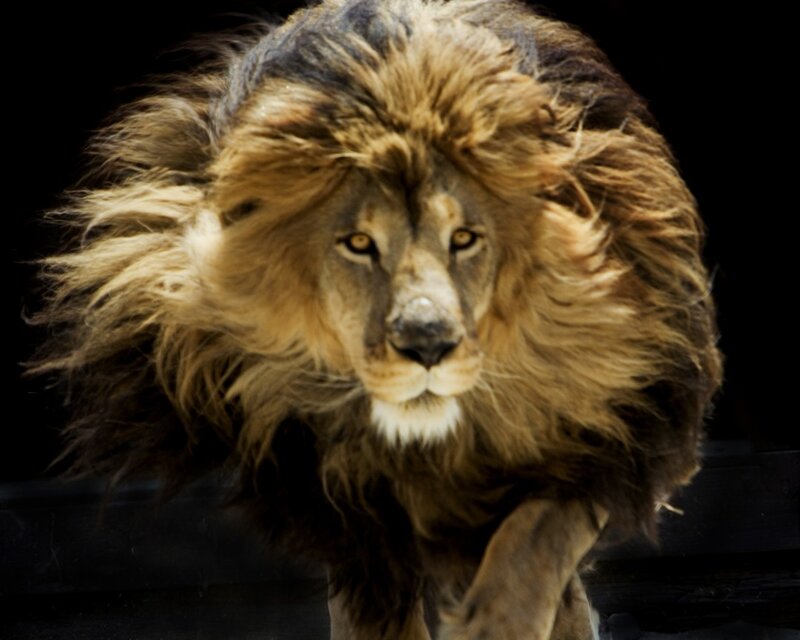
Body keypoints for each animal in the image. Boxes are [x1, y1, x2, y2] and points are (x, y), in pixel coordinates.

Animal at [31, 1, 722, 638]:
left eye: (464, 239)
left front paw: (499, 619)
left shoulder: (609, 421)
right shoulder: (346, 508)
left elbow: (538, 540)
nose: (427, 345)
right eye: (359, 244)